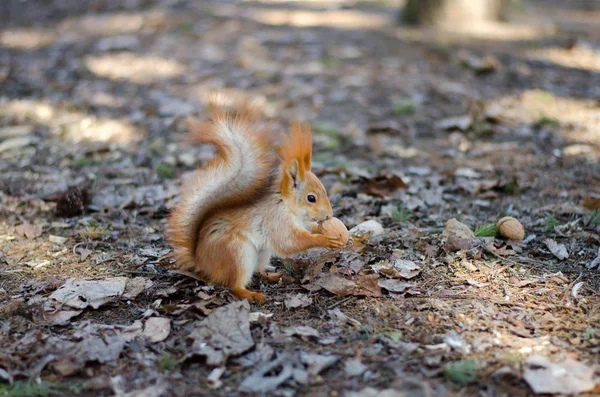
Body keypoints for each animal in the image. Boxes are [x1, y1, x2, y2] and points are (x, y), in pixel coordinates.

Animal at [166, 97, 342, 302]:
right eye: (311, 198)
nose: (329, 216)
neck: (286, 205)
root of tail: (202, 262)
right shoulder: (276, 221)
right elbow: (289, 242)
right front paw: (324, 239)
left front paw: (319, 229)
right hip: (237, 252)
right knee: (234, 284)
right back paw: (251, 294)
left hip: (262, 253)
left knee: (258, 271)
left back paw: (273, 275)